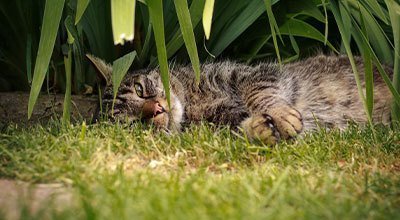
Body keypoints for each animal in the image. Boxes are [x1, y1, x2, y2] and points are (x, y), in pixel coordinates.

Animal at [86, 54, 390, 145]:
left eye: (139, 89)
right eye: (133, 123)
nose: (158, 109)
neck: (193, 103)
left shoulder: (252, 74)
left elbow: (261, 93)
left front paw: (281, 115)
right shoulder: (217, 125)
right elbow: (237, 128)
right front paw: (258, 128)